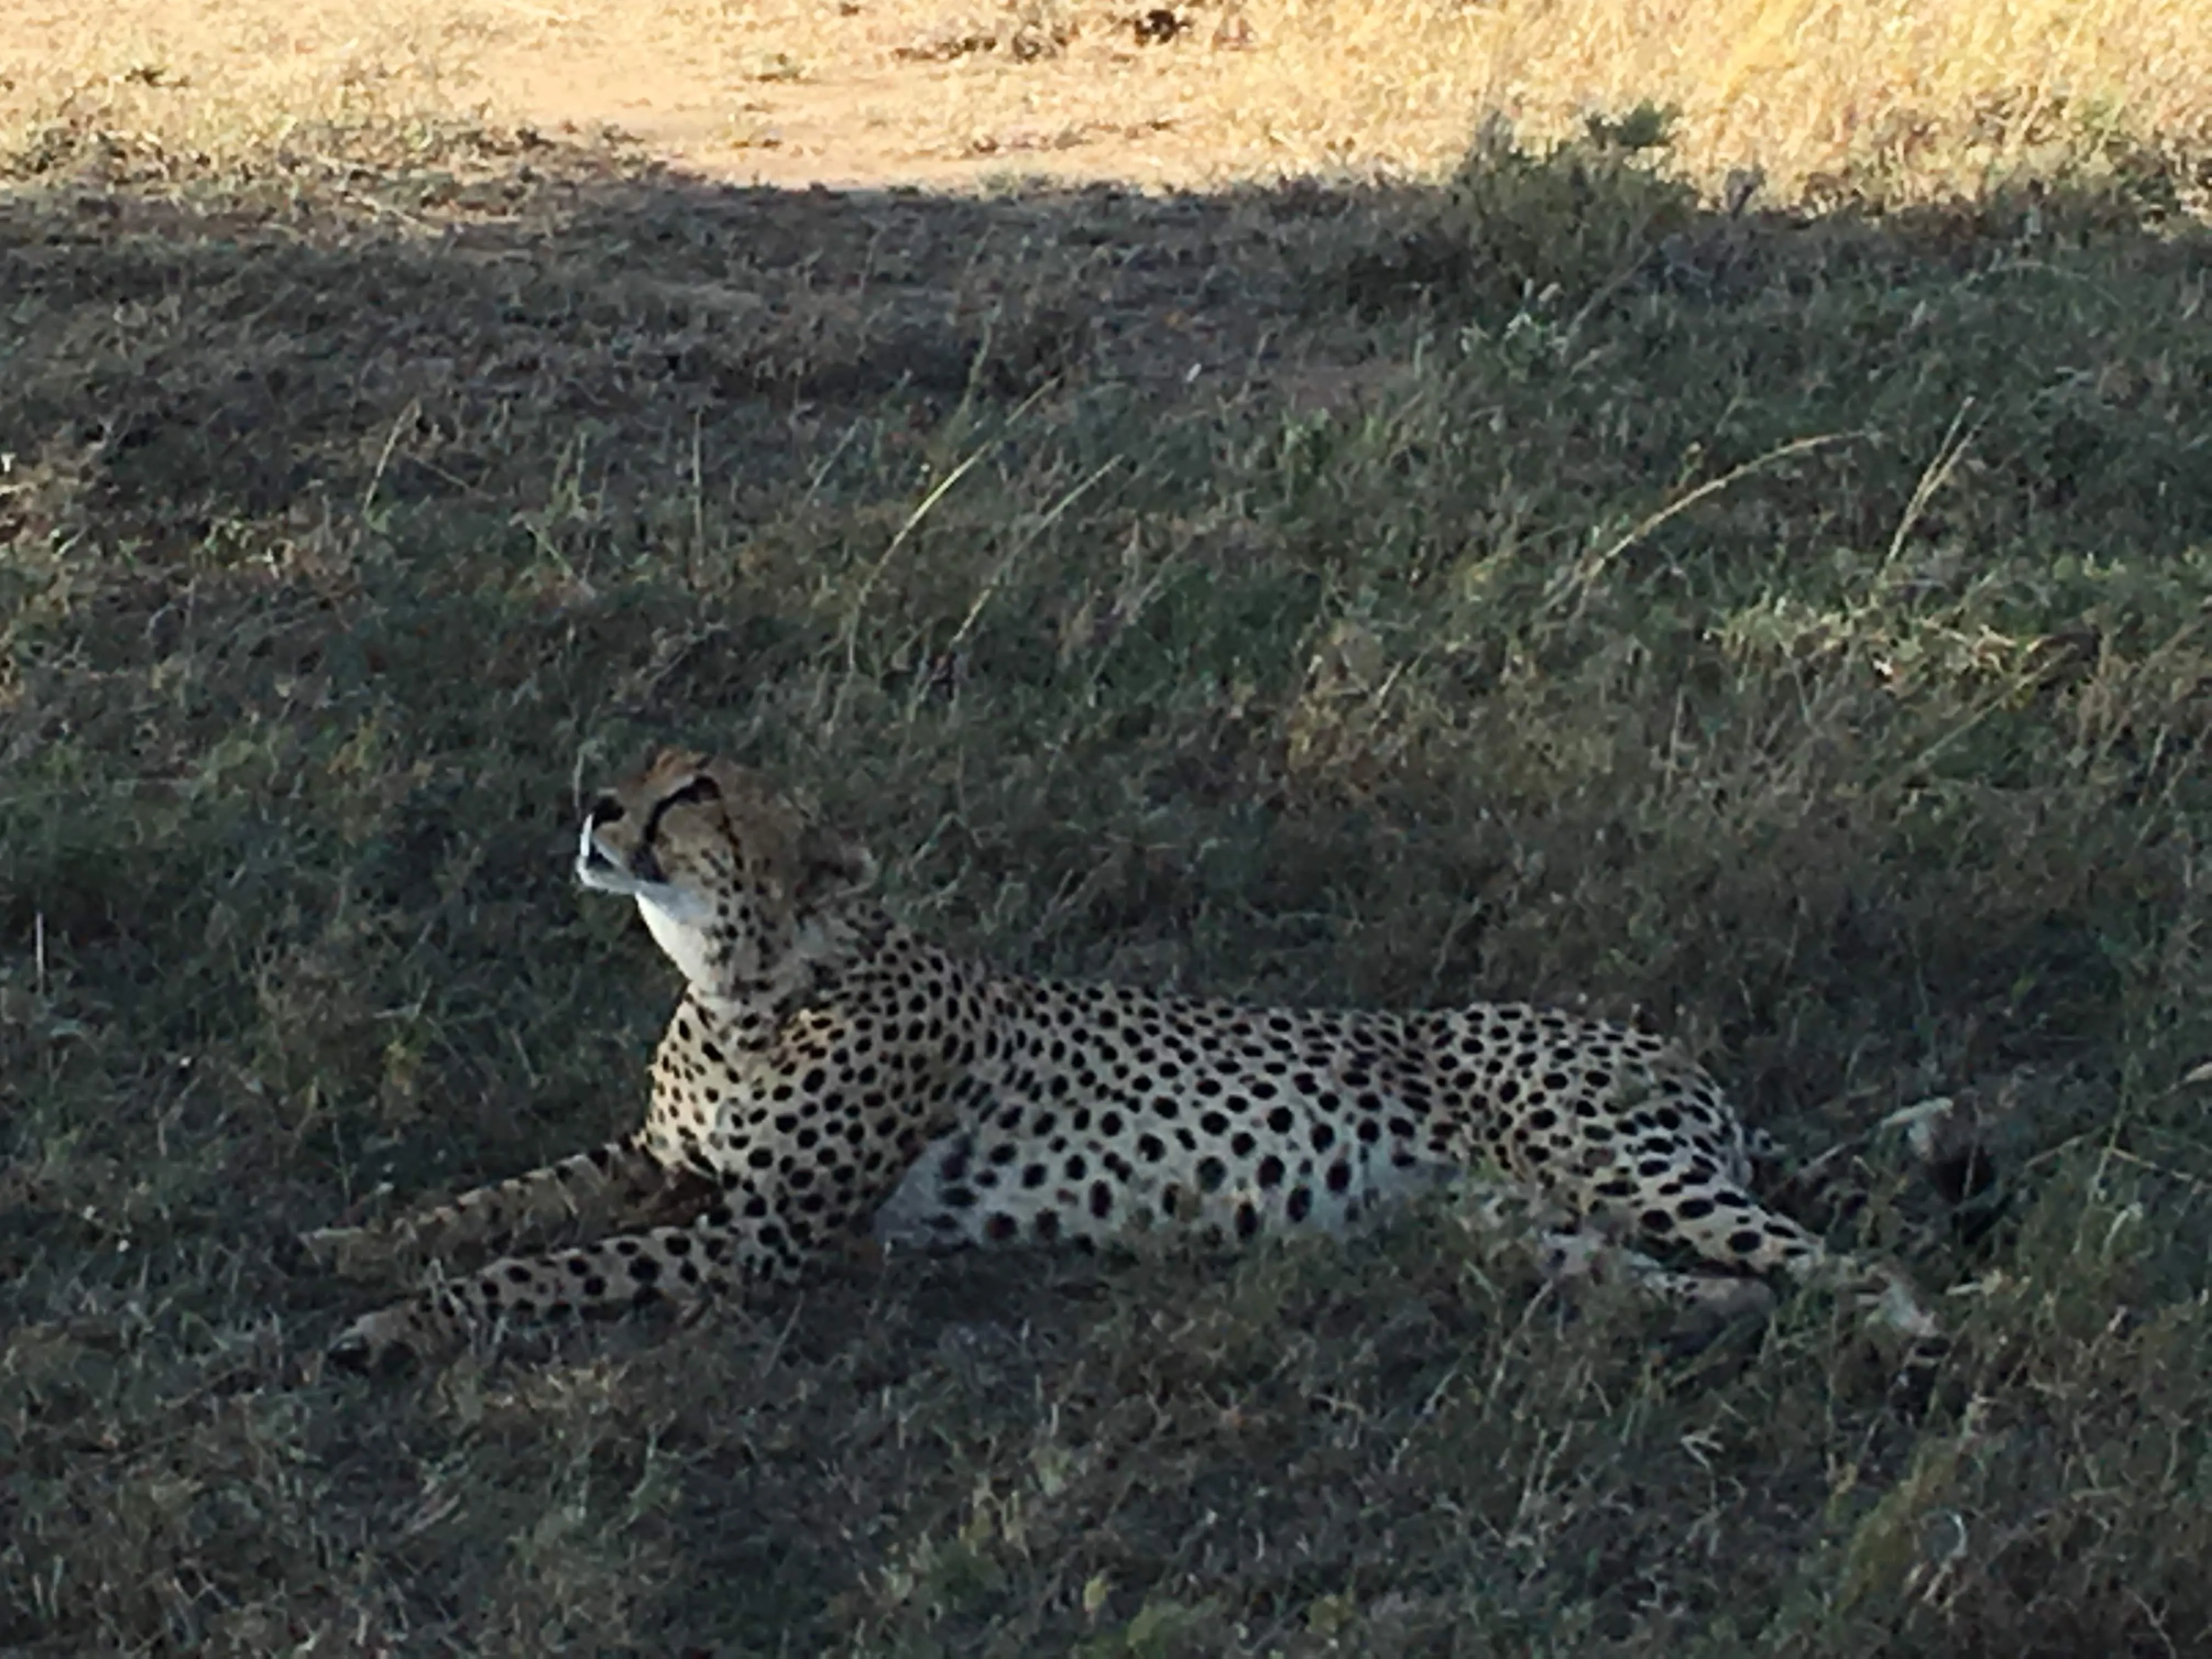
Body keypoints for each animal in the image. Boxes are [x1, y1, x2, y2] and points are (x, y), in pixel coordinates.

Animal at [308, 747, 1936, 1369]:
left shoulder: (766, 1235)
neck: (747, 983)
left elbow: (546, 1267)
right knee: (1697, 1284)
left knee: (1839, 1259)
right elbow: (505, 1202)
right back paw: (1723, 1326)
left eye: (692, 789)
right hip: (1525, 1228)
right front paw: (359, 1246)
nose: (595, 804)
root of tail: (1685, 1064)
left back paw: (1915, 1338)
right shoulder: (662, 1162)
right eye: (644, 768)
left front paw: (401, 1323)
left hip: (1615, 1160)